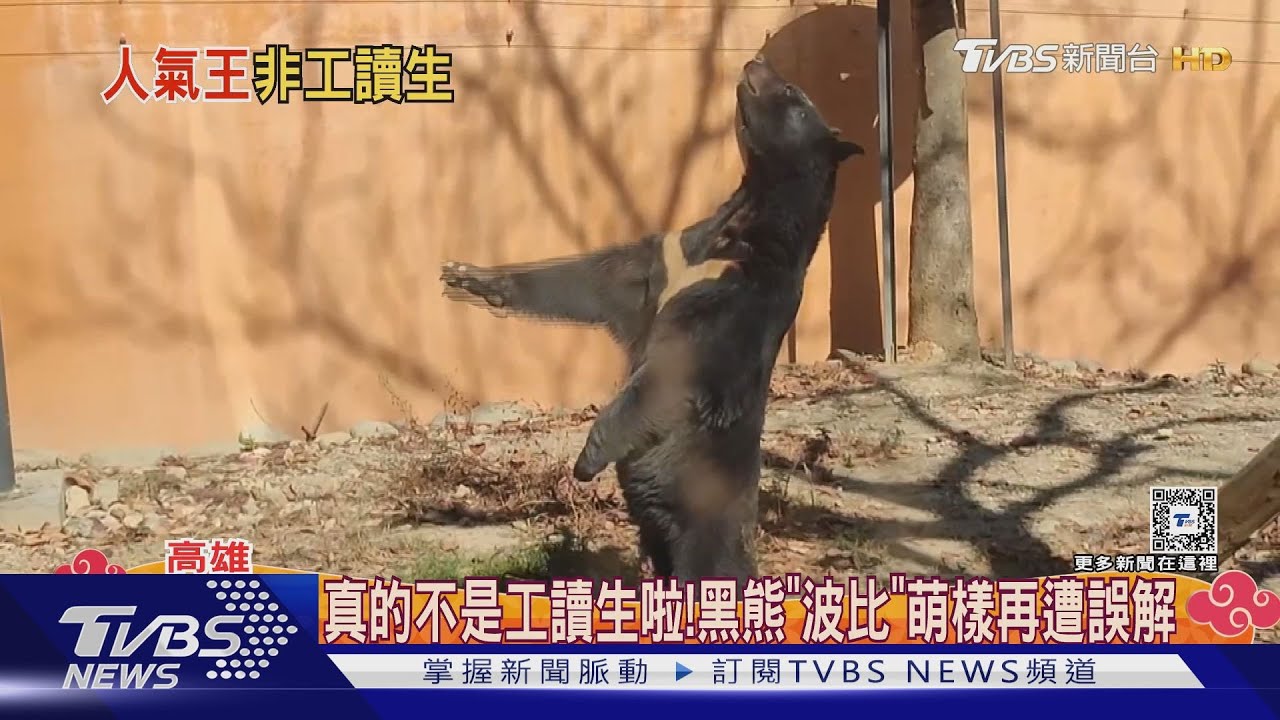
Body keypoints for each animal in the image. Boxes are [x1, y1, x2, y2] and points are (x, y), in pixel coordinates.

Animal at [440, 55, 863, 585]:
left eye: (791, 93)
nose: (756, 61)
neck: (741, 227)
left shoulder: (732, 303)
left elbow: (666, 376)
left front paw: (587, 459)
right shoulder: (669, 259)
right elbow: (592, 279)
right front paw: (467, 277)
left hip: (706, 516)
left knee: (712, 565)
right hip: (658, 533)